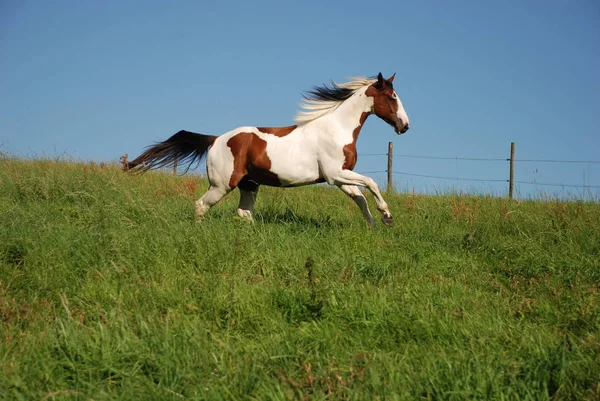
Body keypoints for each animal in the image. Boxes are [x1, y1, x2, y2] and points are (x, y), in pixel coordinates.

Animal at [125, 72, 410, 225]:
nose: (405, 126)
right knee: (201, 206)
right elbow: (371, 183)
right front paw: (387, 215)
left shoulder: (340, 178)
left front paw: (375, 225)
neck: (336, 128)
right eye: (392, 97)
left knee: (243, 213)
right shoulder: (334, 174)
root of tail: (215, 140)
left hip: (249, 185)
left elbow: (360, 198)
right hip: (222, 184)